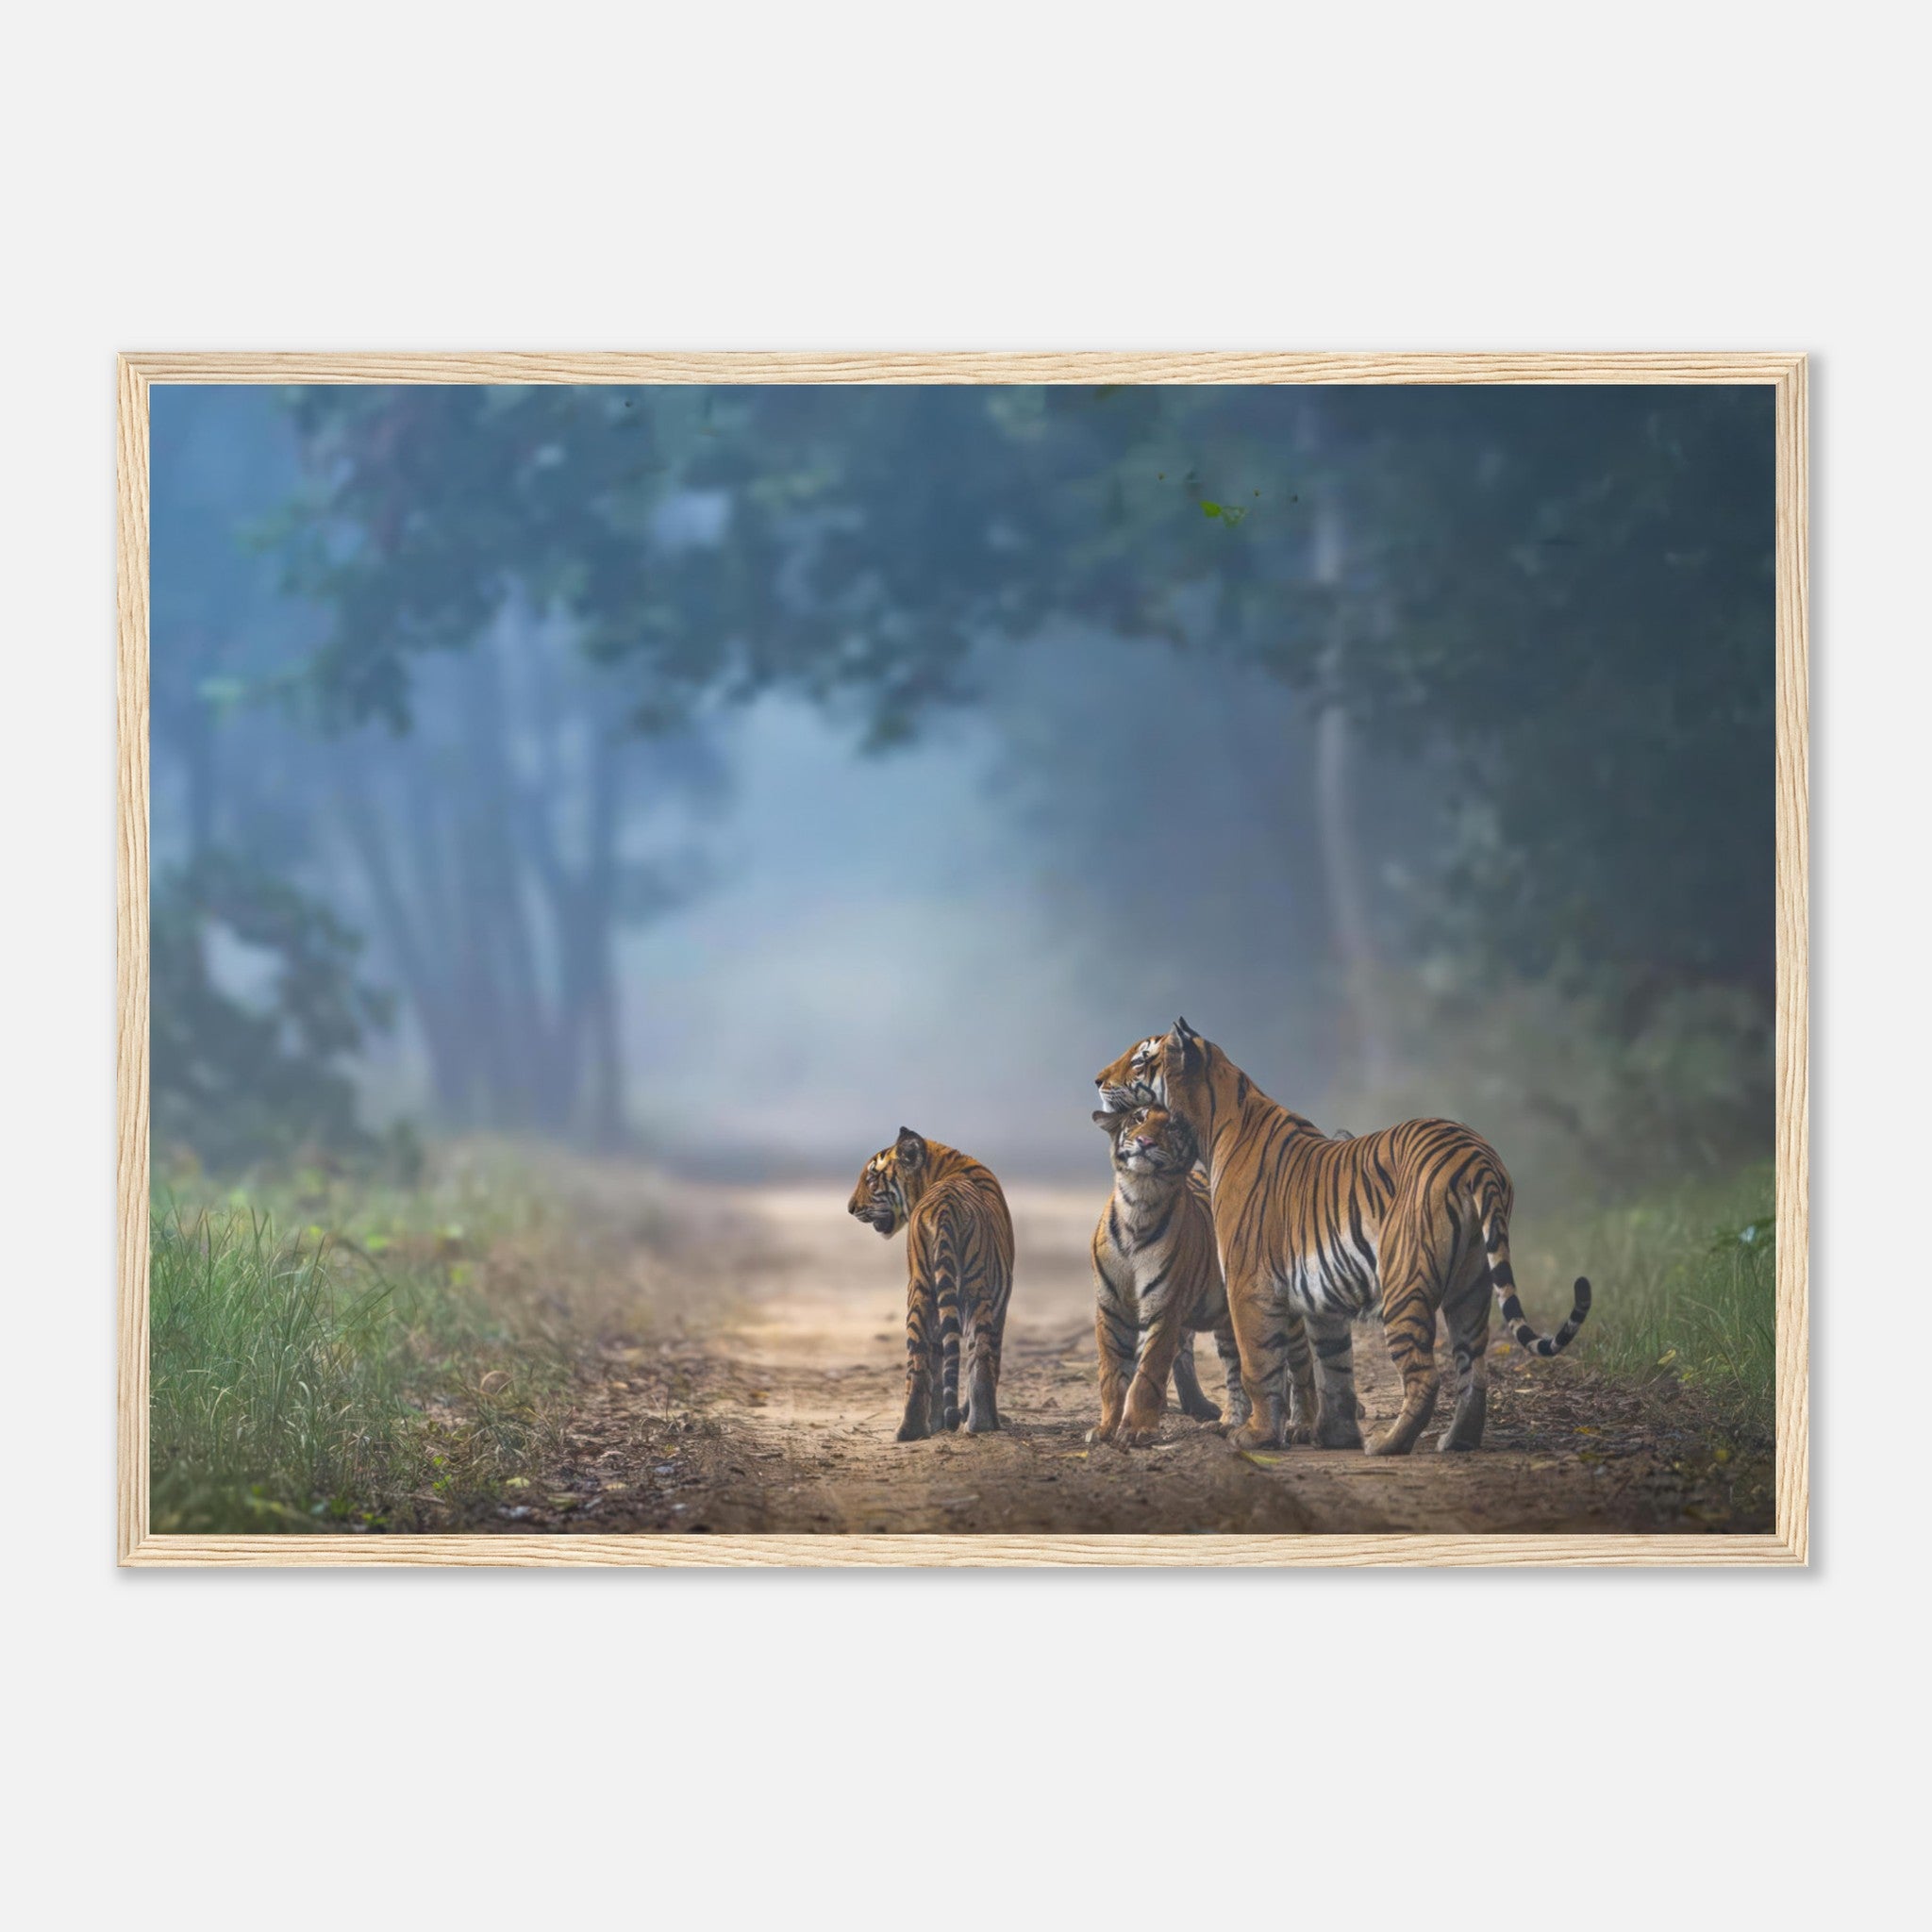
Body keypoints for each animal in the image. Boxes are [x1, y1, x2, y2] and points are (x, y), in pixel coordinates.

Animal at [848, 1126, 1015, 1441]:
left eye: (871, 1179)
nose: (851, 1208)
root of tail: (945, 1206)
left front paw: (940, 1421)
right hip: (970, 1288)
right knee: (975, 1357)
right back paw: (980, 1423)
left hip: (923, 1289)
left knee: (922, 1359)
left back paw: (911, 1430)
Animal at [1089, 1104, 1267, 1446]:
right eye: (1138, 1118)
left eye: (1172, 1127)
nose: (1145, 1141)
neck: (1139, 1203)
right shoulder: (1111, 1309)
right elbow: (1112, 1374)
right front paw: (1106, 1428)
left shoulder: (1163, 1310)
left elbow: (1148, 1374)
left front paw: (1136, 1429)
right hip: (1227, 1323)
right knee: (1235, 1370)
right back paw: (1228, 1422)